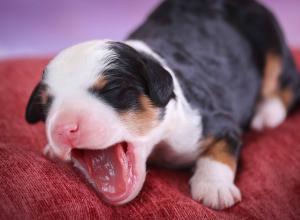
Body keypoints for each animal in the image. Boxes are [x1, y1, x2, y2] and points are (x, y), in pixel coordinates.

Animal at [25, 0, 300, 210]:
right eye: (46, 106)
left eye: (111, 90)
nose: (63, 129)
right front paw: (51, 148)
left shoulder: (216, 120)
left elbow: (220, 150)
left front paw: (214, 187)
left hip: (269, 39)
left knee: (286, 84)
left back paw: (267, 112)